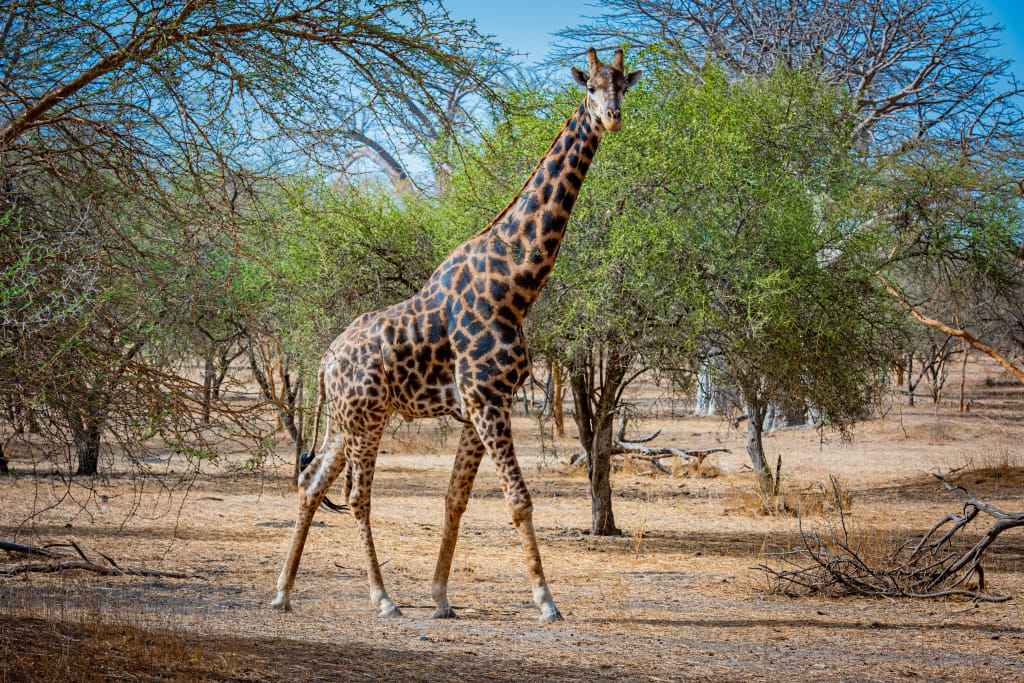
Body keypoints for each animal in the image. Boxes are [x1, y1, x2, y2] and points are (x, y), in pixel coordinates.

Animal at [272, 47, 641, 622]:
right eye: (590, 88)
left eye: (623, 84)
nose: (613, 117)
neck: (516, 284)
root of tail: (325, 360)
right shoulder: (489, 400)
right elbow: (519, 500)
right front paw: (546, 601)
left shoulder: (478, 408)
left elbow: (455, 499)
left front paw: (441, 596)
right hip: (368, 417)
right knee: (357, 497)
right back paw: (382, 599)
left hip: (341, 419)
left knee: (312, 484)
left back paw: (283, 591)